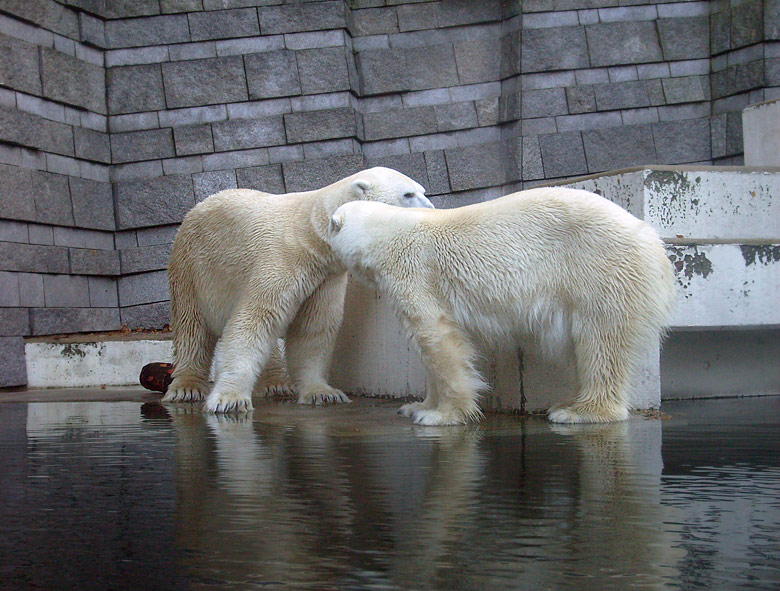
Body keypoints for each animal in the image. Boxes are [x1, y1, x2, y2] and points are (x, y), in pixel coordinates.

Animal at [166, 166, 432, 414]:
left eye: (423, 191)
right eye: (408, 194)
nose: (430, 206)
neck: (310, 234)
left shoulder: (324, 276)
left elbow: (312, 329)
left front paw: (323, 393)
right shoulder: (280, 261)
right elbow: (252, 321)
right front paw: (229, 400)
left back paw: (276, 383)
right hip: (191, 267)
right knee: (192, 328)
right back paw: (186, 388)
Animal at [330, 187, 676, 424]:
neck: (384, 235)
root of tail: (653, 240)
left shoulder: (414, 271)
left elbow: (437, 337)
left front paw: (442, 415)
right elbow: (427, 346)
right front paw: (417, 406)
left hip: (601, 269)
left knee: (601, 341)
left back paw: (579, 412)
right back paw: (567, 403)